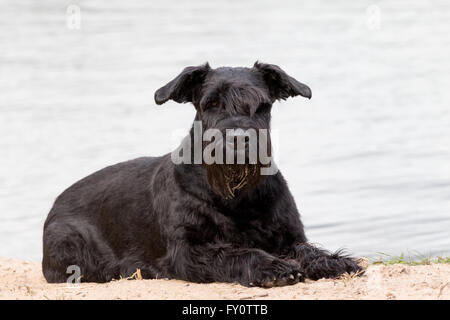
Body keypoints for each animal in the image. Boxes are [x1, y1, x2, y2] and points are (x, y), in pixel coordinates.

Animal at [43, 62, 362, 284]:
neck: (237, 197)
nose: (238, 139)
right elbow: (236, 252)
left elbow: (306, 249)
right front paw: (274, 267)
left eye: (262, 104)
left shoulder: (289, 236)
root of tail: (55, 203)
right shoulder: (189, 251)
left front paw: (333, 261)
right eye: (212, 103)